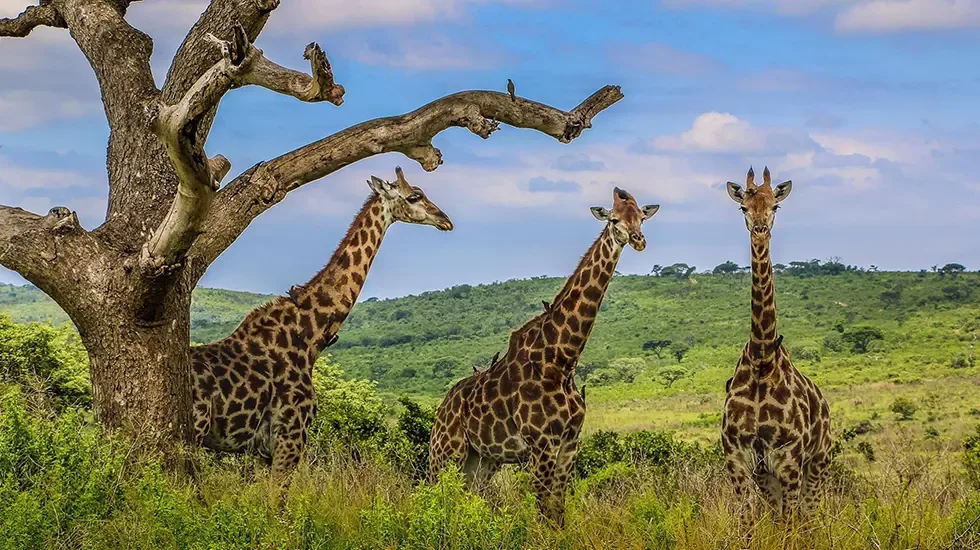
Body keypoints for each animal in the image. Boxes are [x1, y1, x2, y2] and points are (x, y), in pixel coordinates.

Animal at [429, 187, 659, 526]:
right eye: (614, 219)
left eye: (642, 217)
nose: (638, 240)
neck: (562, 359)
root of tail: (441, 408)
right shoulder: (541, 445)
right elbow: (542, 513)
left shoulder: (569, 444)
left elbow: (557, 512)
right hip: (446, 451)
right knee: (433, 495)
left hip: (482, 459)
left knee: (467, 498)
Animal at [721, 166, 833, 530]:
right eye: (743, 207)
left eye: (775, 206)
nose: (760, 231)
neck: (761, 358)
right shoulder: (739, 461)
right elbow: (749, 521)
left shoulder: (789, 461)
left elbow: (791, 526)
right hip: (767, 476)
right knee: (779, 515)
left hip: (818, 463)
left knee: (806, 518)